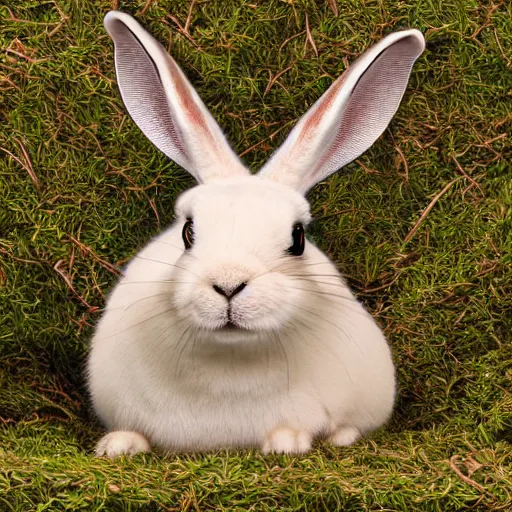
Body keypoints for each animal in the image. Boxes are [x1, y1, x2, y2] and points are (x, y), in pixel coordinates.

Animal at [88, 10, 424, 458]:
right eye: (188, 231)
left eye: (297, 238)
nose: (229, 285)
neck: (230, 361)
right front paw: (118, 444)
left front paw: (288, 441)